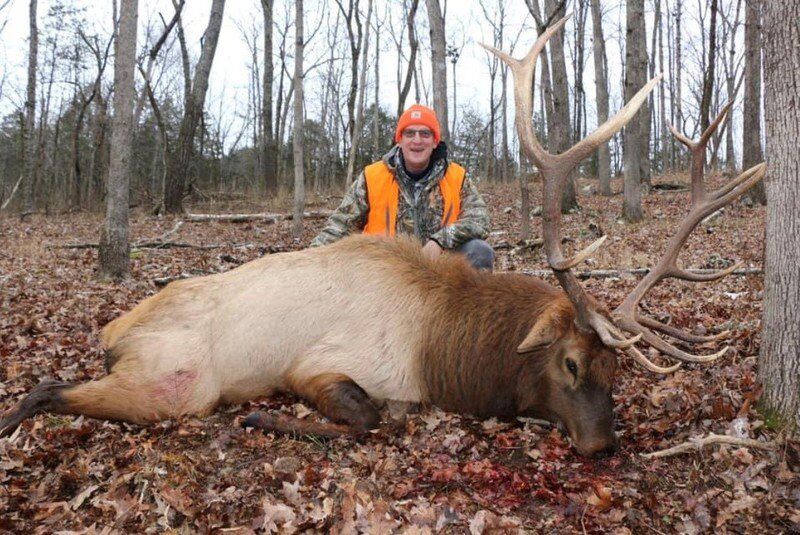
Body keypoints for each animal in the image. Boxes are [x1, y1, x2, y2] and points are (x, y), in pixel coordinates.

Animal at [0, 15, 765, 458]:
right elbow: (371, 419)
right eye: (573, 364)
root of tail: (112, 330)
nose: (604, 445)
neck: (445, 350)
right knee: (45, 390)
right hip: (173, 381)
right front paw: (262, 422)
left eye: (619, 369)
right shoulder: (321, 364)